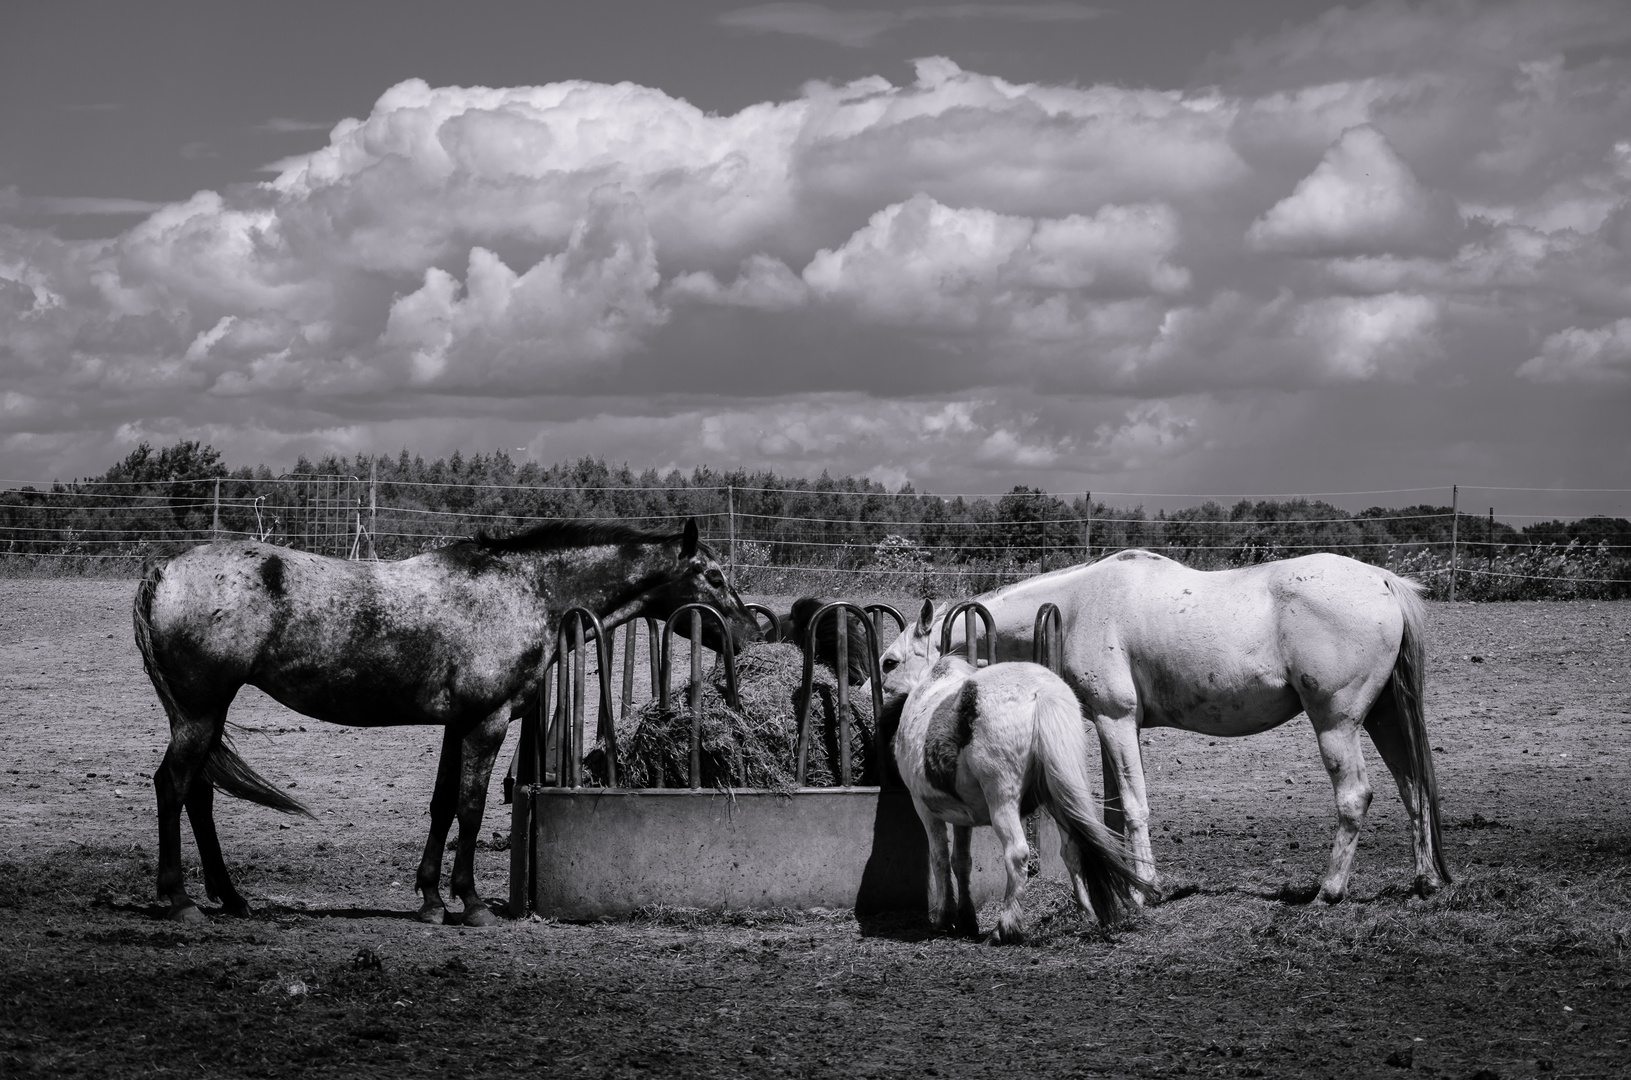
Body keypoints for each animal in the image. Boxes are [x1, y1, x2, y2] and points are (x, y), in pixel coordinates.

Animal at [132, 522, 756, 926]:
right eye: (714, 576)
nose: (750, 631)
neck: (523, 591)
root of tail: (166, 569)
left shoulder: (457, 726)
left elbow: (441, 805)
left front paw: (432, 900)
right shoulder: (486, 722)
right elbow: (471, 807)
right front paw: (472, 903)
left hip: (206, 715)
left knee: (199, 795)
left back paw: (230, 898)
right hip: (201, 712)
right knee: (173, 786)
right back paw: (180, 901)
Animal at [880, 554, 1454, 907]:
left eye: (889, 662)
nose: (883, 710)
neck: (1083, 602)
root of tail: (1383, 581)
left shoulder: (1115, 719)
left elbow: (1134, 807)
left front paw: (1144, 890)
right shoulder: (1115, 726)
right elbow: (1116, 807)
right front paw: (1124, 879)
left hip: (1336, 722)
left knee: (1356, 795)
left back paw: (1329, 890)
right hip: (1383, 717)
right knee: (1413, 788)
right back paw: (1424, 879)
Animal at [880, 597, 1148, 946]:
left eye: (889, 662)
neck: (929, 685)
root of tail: (1041, 693)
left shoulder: (924, 807)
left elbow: (939, 859)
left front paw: (943, 918)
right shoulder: (962, 816)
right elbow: (961, 861)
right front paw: (965, 918)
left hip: (1003, 800)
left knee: (1017, 853)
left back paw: (1005, 926)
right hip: (1059, 795)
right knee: (1073, 848)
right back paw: (1086, 914)